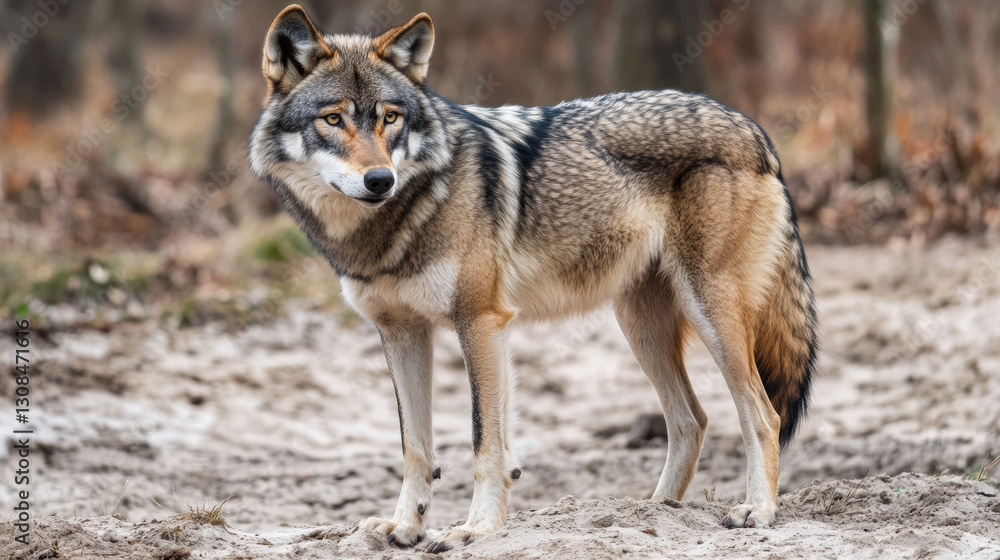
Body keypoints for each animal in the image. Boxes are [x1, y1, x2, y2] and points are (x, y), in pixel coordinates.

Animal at [249, 5, 818, 552]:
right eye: (333, 119)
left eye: (390, 118)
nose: (380, 180)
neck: (389, 227)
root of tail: (754, 129)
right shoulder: (402, 333)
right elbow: (416, 447)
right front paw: (405, 527)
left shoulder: (482, 322)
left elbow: (485, 441)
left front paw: (476, 529)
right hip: (640, 325)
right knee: (691, 420)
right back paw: (653, 514)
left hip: (710, 312)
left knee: (762, 414)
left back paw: (756, 510)